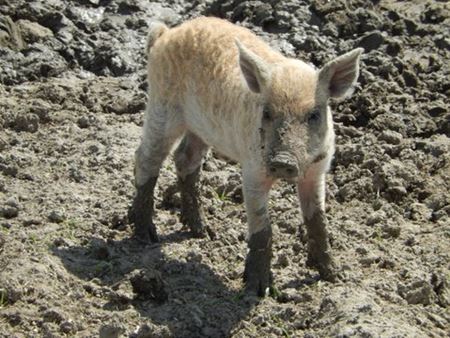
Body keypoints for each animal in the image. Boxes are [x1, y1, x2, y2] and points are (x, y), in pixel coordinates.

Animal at [131, 16, 362, 296]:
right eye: (268, 112)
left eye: (314, 115)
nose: (283, 161)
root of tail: (166, 33)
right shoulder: (252, 171)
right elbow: (263, 228)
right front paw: (260, 291)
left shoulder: (318, 171)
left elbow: (317, 219)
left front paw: (334, 276)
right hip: (161, 106)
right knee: (145, 158)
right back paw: (146, 236)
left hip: (200, 127)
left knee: (185, 158)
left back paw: (204, 232)